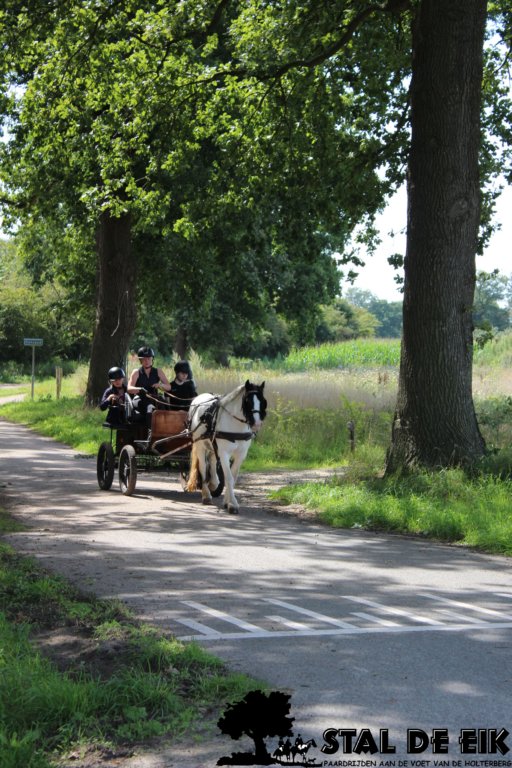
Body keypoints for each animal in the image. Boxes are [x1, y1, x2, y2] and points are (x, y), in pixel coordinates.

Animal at [186, 380, 267, 514]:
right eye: (248, 401)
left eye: (262, 401)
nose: (257, 424)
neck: (236, 425)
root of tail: (198, 398)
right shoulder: (224, 453)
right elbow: (228, 477)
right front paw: (233, 504)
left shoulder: (241, 454)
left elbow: (233, 478)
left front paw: (227, 501)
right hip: (200, 444)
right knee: (203, 467)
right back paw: (206, 495)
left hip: (212, 445)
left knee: (212, 461)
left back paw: (213, 482)